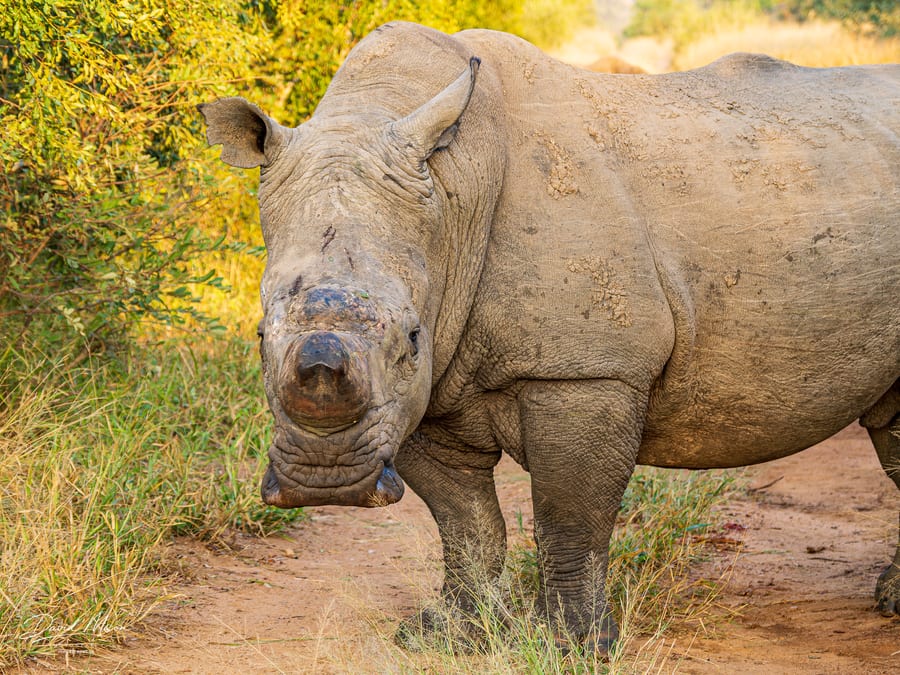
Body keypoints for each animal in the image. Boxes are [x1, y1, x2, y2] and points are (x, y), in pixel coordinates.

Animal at [199, 22, 900, 649]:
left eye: (411, 338)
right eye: (258, 335)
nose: (326, 481)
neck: (453, 193)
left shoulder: (586, 370)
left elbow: (569, 515)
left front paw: (576, 645)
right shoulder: (428, 384)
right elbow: (465, 521)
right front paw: (447, 636)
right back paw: (891, 602)